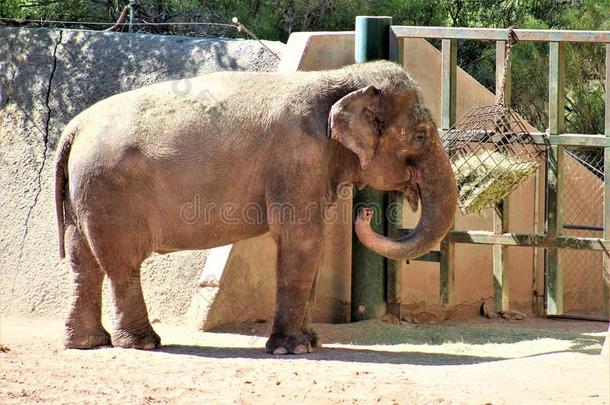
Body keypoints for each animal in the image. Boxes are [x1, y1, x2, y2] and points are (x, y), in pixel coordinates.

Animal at [54, 60, 454, 354]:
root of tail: (73, 127)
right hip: (109, 192)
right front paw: (292, 350)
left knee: (83, 262)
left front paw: (311, 342)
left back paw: (87, 344)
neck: (341, 78)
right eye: (421, 136)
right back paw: (143, 344)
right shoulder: (298, 160)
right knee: (122, 264)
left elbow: (313, 243)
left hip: (84, 194)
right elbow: (301, 240)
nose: (364, 212)